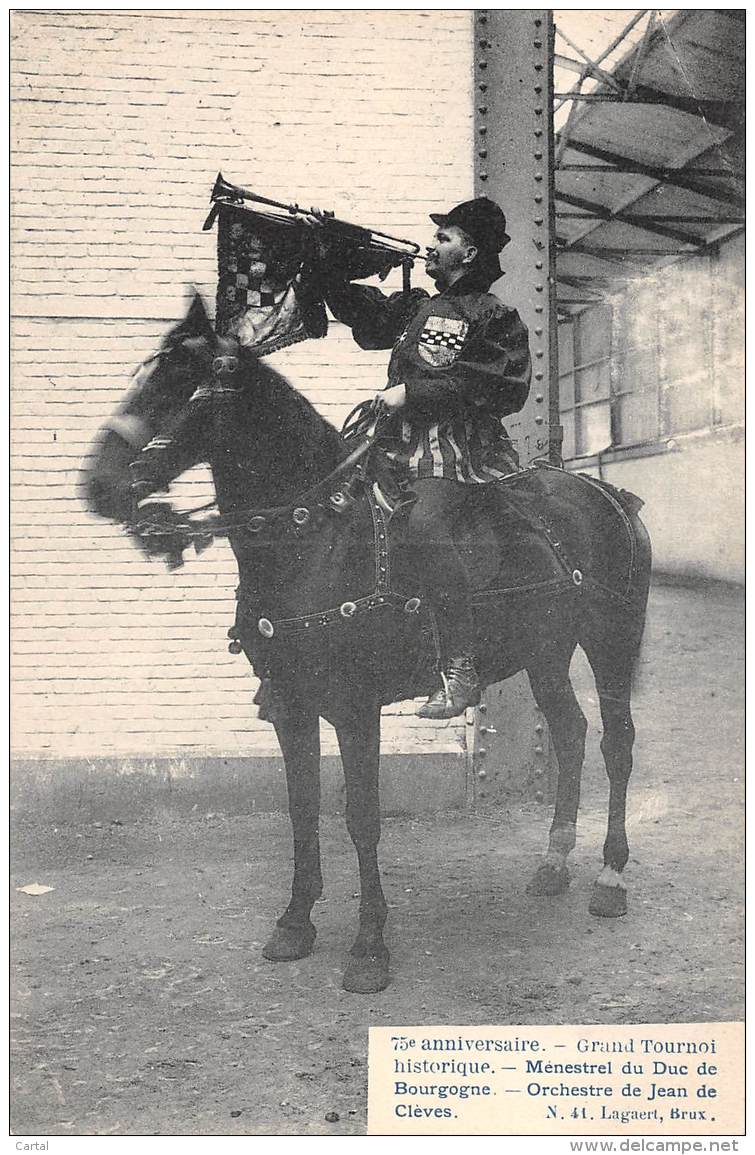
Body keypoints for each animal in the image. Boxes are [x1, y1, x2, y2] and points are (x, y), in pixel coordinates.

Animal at [81, 288, 651, 993]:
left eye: (183, 383)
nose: (99, 484)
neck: (314, 540)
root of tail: (609, 493)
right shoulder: (292, 707)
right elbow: (302, 809)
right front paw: (295, 924)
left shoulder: (356, 710)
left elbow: (361, 817)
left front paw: (369, 947)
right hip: (546, 651)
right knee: (570, 734)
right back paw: (552, 864)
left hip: (611, 641)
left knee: (616, 745)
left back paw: (610, 878)